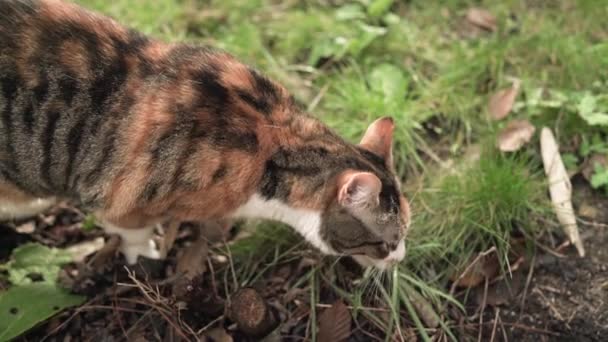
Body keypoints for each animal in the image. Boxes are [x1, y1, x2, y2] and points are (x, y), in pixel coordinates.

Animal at [0, 0, 410, 270]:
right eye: (387, 242)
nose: (402, 256)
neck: (272, 145)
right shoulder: (120, 198)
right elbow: (132, 232)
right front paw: (147, 254)